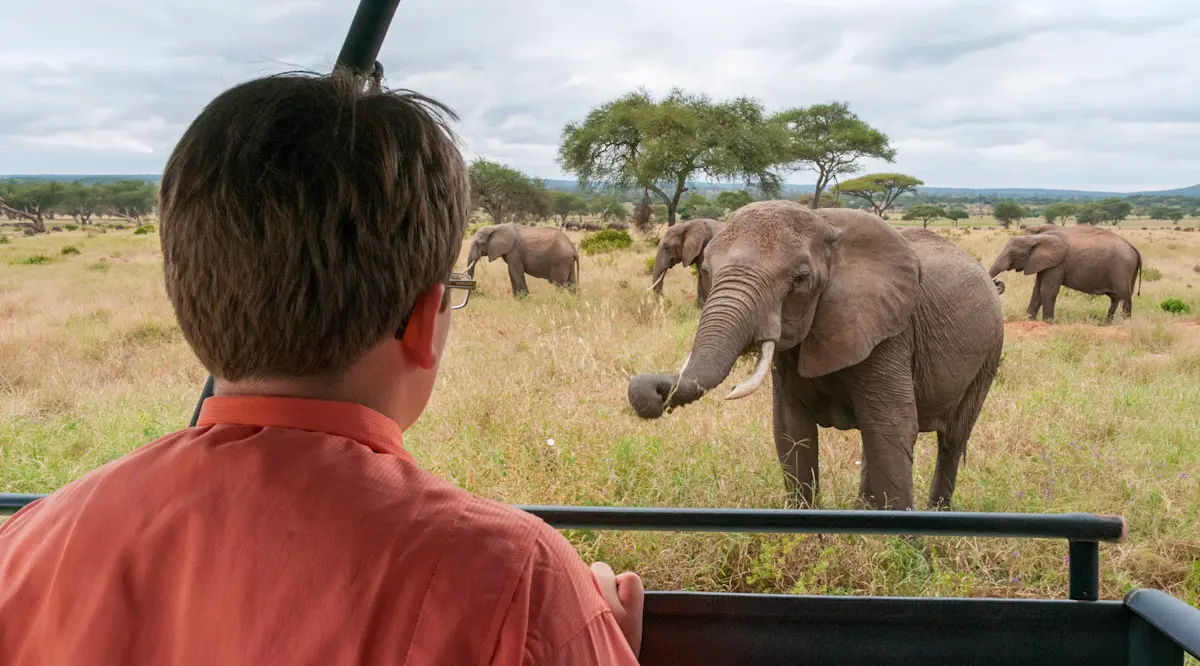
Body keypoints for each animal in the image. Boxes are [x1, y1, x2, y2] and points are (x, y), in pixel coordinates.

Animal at [627, 201, 1004, 511]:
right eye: (705, 270)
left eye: (801, 278)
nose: (651, 389)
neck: (825, 225)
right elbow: (791, 432)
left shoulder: (890, 334)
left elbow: (892, 429)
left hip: (990, 352)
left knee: (952, 440)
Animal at [989, 225, 1142, 323]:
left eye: (1013, 254)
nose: (997, 282)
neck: (1038, 238)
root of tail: (1134, 248)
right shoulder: (1044, 262)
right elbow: (1037, 290)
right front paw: (1029, 320)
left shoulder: (1057, 264)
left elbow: (1047, 290)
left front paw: (1048, 323)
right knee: (1117, 298)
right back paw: (1107, 323)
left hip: (1122, 268)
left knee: (1124, 297)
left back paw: (1125, 324)